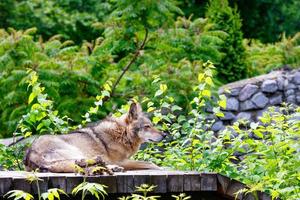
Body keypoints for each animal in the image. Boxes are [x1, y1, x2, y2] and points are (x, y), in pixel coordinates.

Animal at [24, 102, 166, 173]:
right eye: (147, 126)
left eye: (152, 125)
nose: (165, 135)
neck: (122, 134)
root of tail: (31, 154)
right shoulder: (122, 161)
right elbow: (151, 163)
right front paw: (162, 168)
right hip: (76, 151)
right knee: (81, 163)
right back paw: (111, 168)